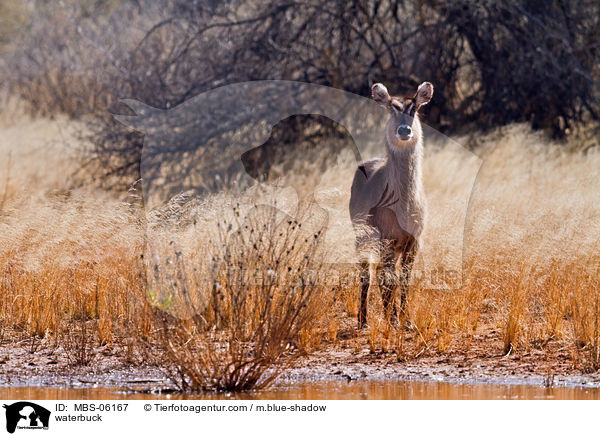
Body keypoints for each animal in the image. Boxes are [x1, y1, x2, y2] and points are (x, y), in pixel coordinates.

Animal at [350, 81, 434, 328]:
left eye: (414, 108)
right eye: (391, 107)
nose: (404, 130)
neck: (404, 203)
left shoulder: (413, 241)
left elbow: (404, 280)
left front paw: (406, 321)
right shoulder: (386, 239)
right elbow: (389, 281)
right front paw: (392, 321)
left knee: (381, 273)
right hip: (362, 238)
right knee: (367, 275)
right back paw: (363, 320)